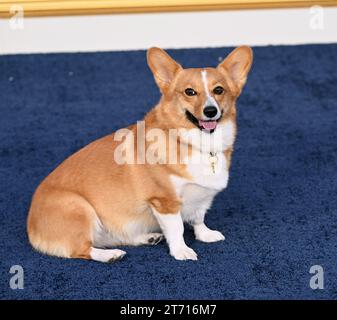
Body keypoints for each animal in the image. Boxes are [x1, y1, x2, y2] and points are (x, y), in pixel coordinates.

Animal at [26, 46, 252, 262]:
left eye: (219, 90)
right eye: (190, 92)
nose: (210, 111)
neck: (196, 143)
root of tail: (31, 227)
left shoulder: (201, 197)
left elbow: (199, 218)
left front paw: (205, 234)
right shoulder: (164, 202)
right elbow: (177, 228)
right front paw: (181, 251)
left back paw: (147, 237)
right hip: (80, 208)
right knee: (81, 249)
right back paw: (110, 256)